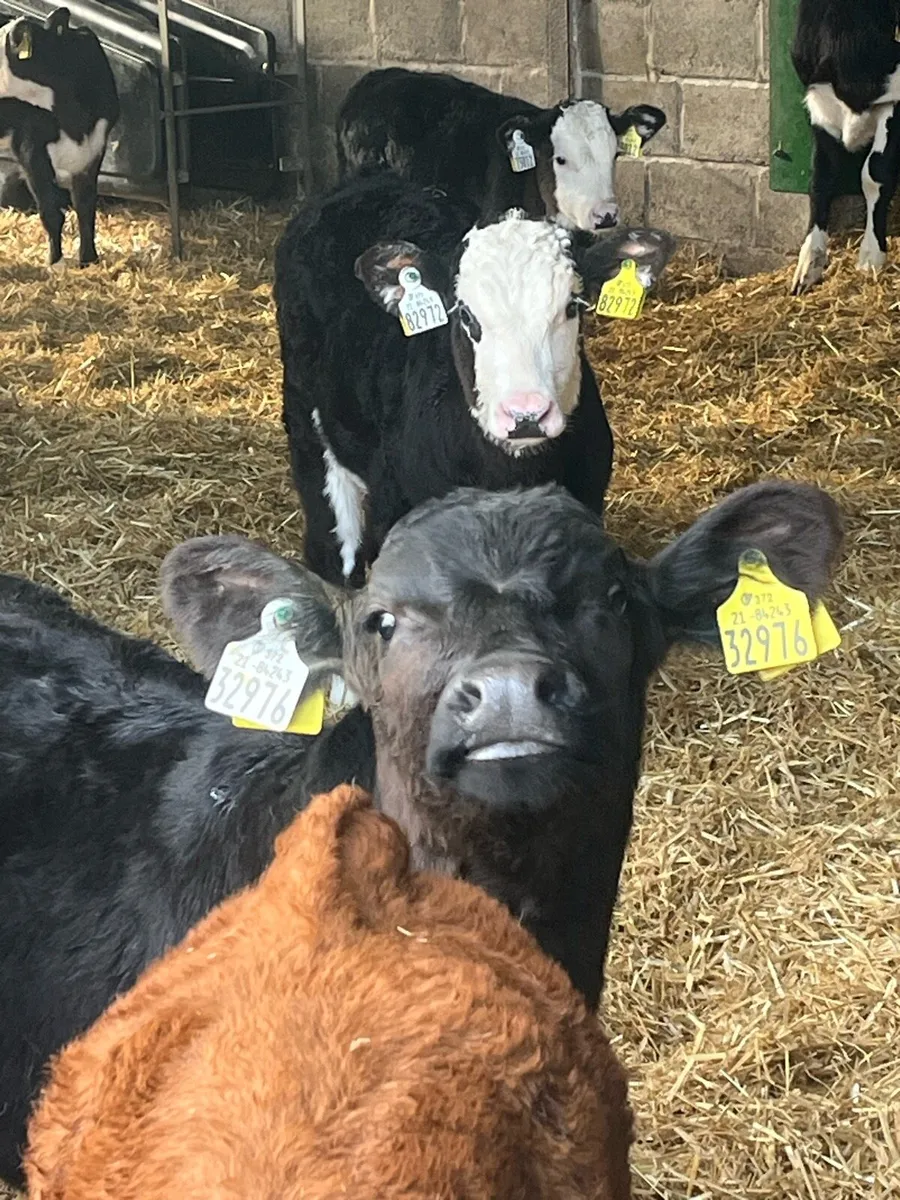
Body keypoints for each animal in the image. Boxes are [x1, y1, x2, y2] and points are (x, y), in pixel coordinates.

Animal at [0, 8, 119, 266]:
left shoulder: (95, 145)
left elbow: (85, 204)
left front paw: (88, 259)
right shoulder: (30, 148)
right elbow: (50, 210)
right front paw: (55, 262)